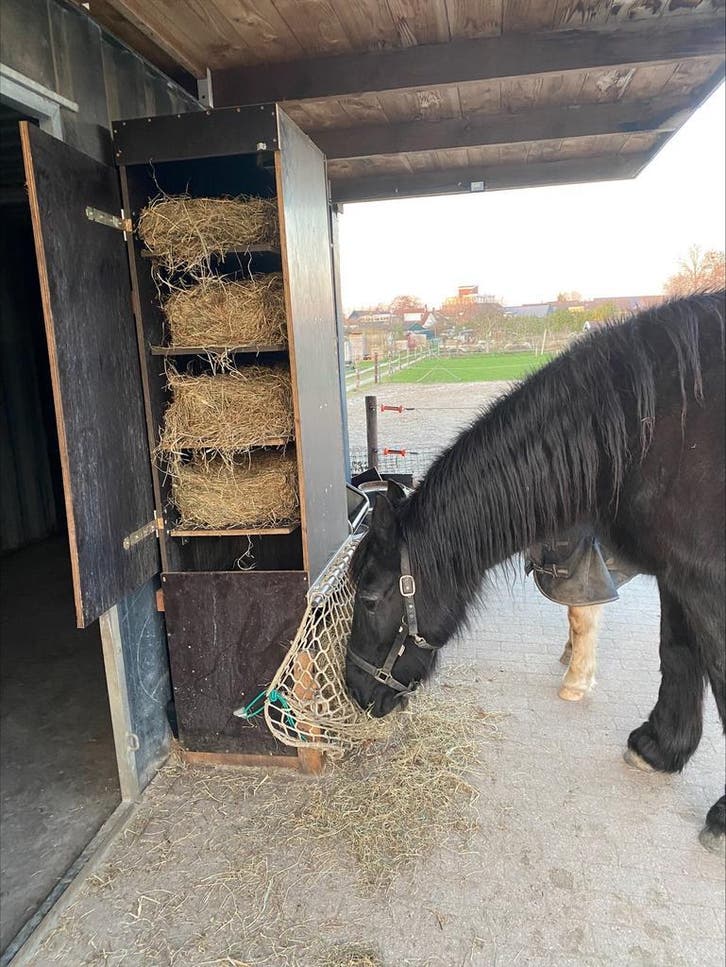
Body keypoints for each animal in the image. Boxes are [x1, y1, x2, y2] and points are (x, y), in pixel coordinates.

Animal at [345, 292, 725, 853]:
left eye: (371, 598)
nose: (353, 689)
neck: (653, 430)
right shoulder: (677, 573)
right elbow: (677, 653)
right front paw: (660, 747)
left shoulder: (705, 579)